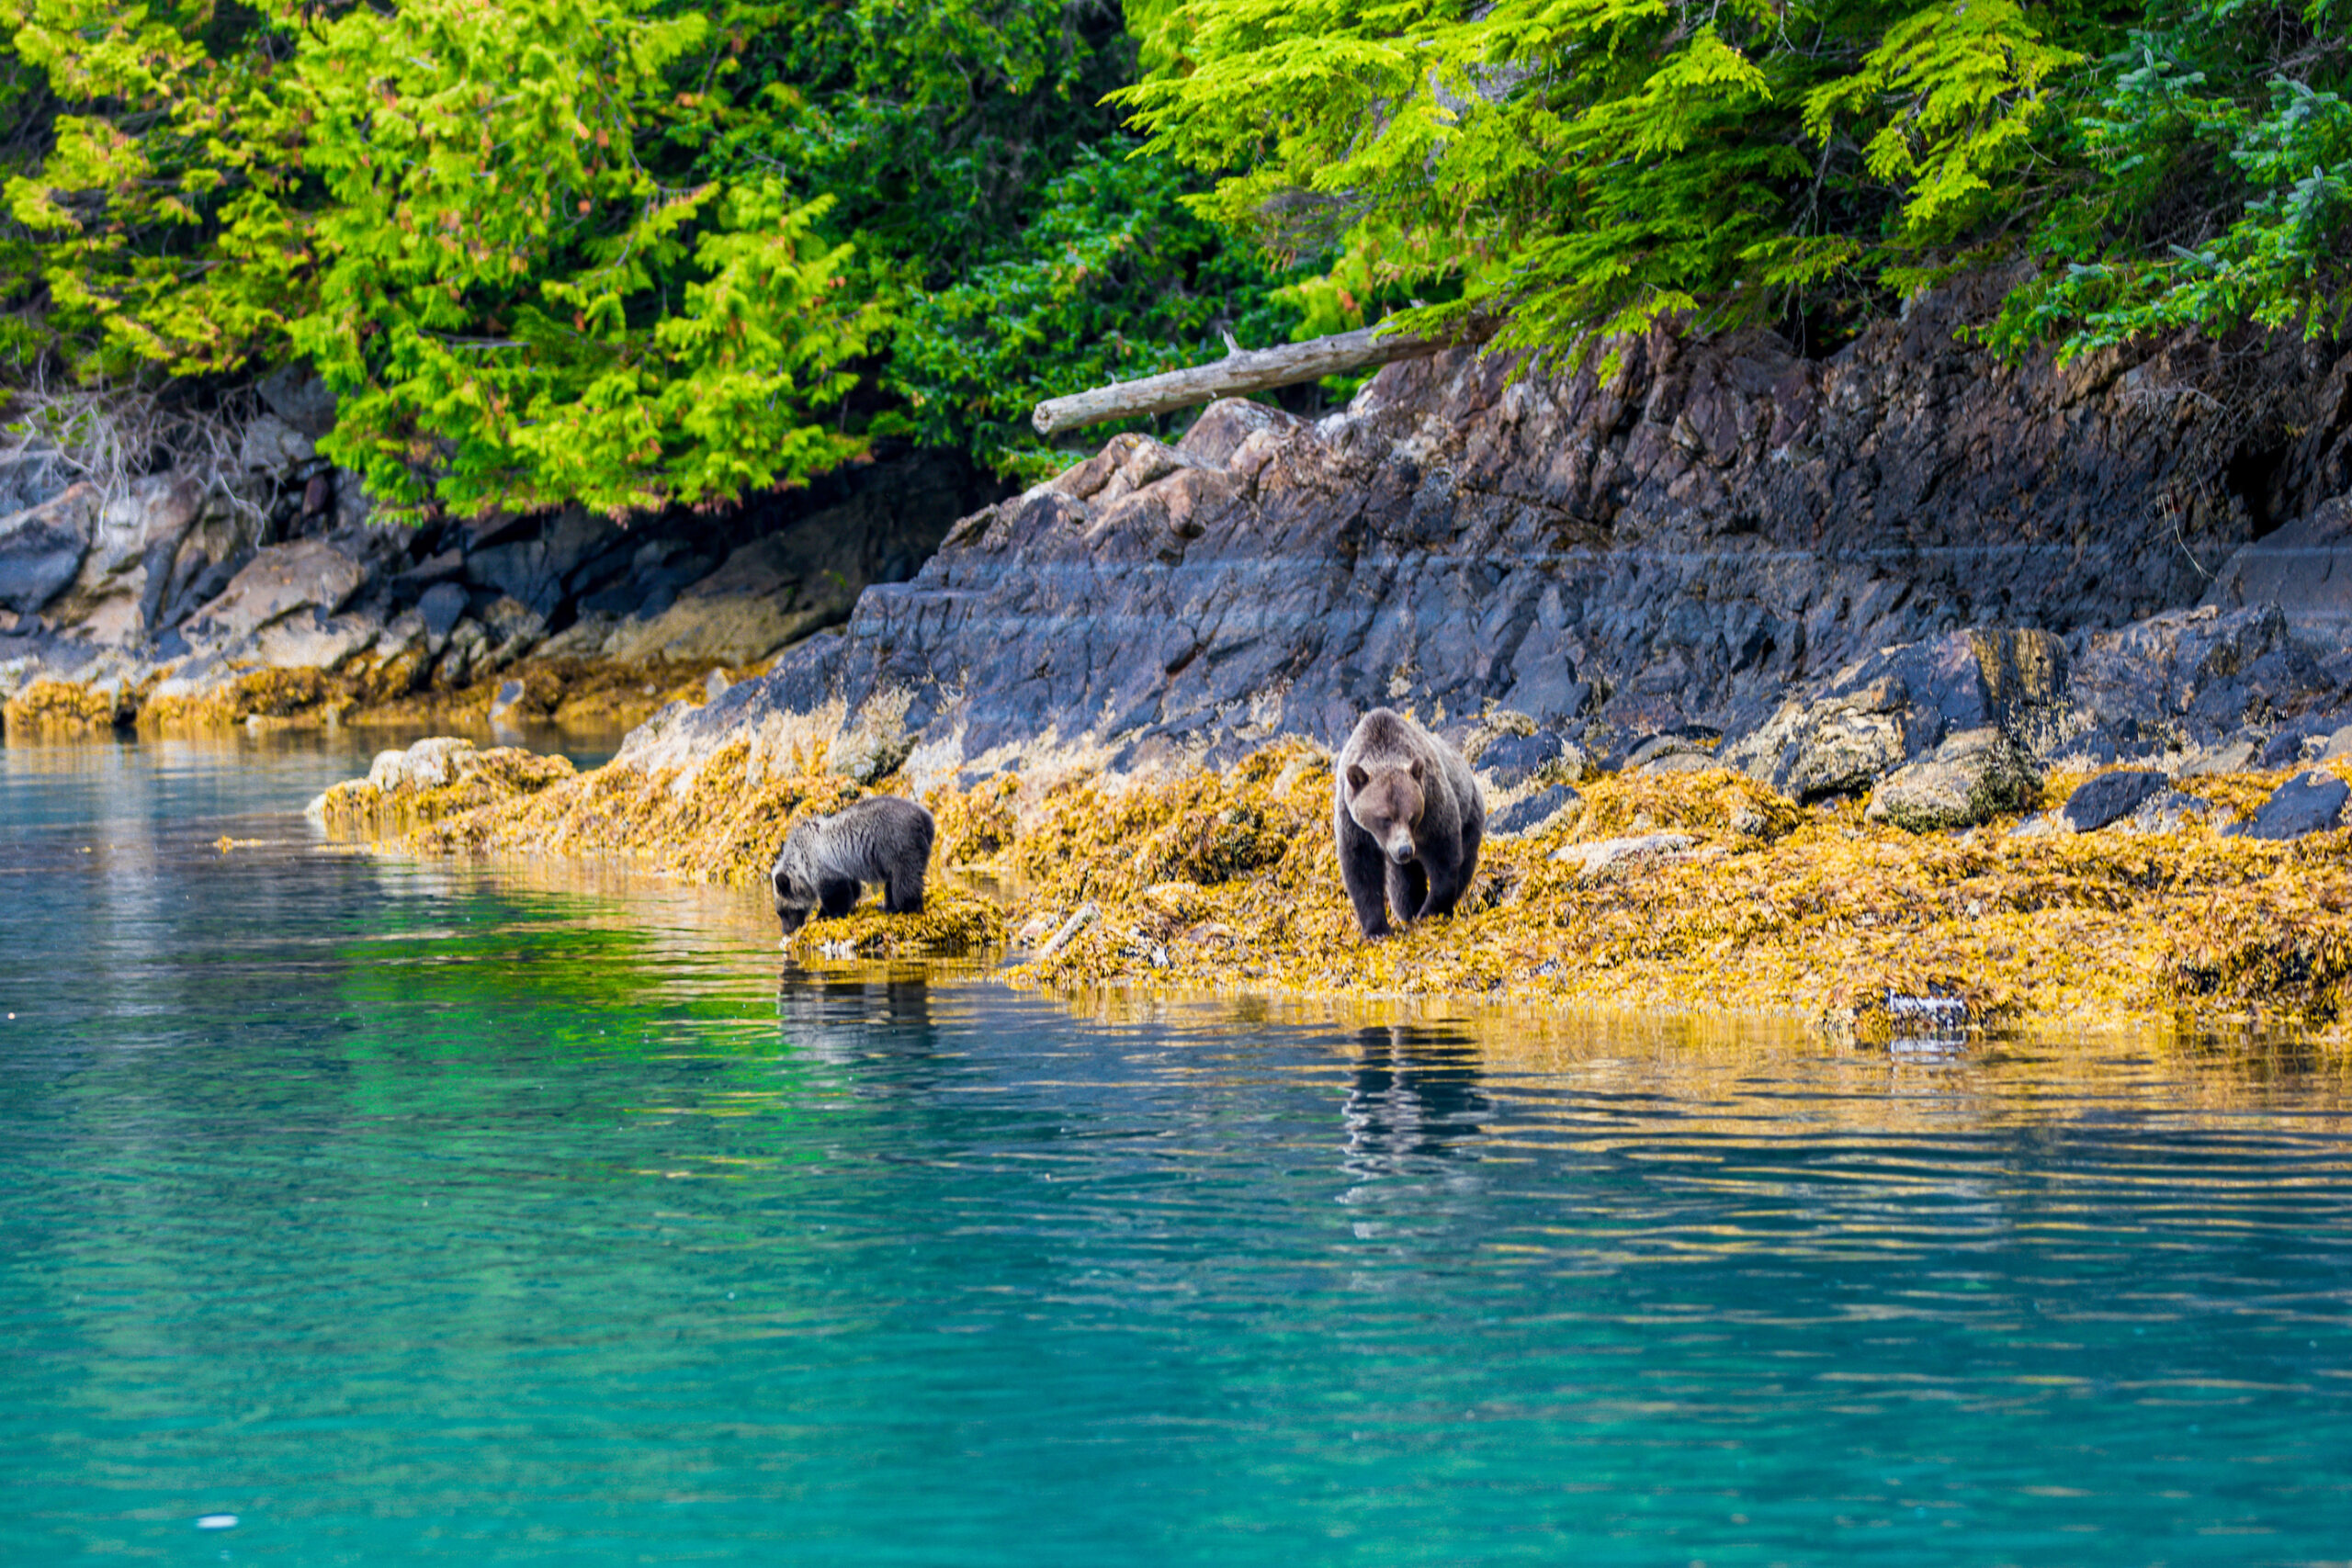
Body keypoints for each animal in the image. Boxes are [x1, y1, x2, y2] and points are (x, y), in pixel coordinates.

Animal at [770, 796, 936, 936]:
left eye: (783, 911)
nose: (786, 930)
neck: (801, 865)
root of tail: (925, 817)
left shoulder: (822, 865)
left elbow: (836, 894)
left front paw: (828, 914)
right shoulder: (842, 867)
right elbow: (853, 888)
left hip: (898, 844)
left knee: (904, 879)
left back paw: (904, 907)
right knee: (894, 881)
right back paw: (888, 906)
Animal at [1333, 708, 1485, 939]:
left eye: (1412, 817)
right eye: (1385, 818)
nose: (1405, 850)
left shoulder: (1432, 804)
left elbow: (1444, 856)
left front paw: (1432, 911)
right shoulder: (1353, 824)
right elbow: (1361, 869)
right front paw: (1376, 929)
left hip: (1470, 813)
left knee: (1465, 861)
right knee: (1403, 883)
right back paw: (1409, 908)